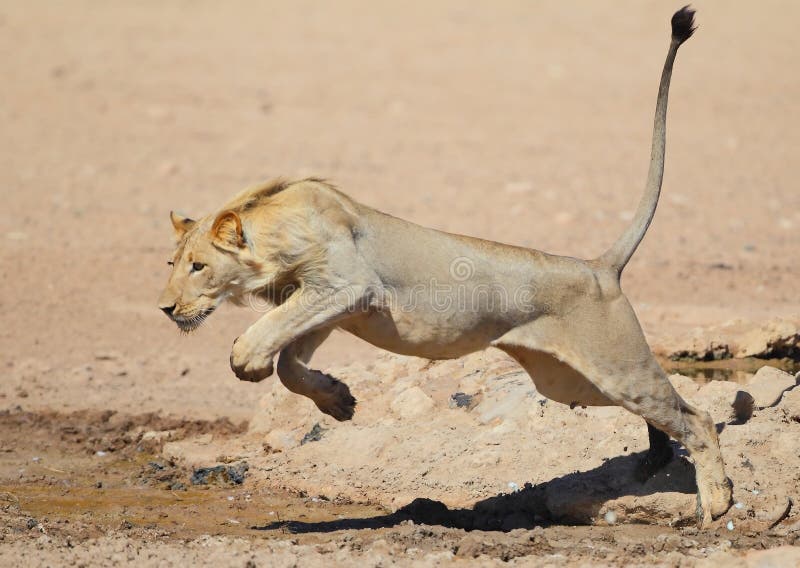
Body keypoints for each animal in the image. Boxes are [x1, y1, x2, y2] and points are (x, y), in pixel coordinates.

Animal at [156, 6, 732, 524]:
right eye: (173, 262)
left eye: (199, 267)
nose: (165, 309)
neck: (271, 235)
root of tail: (599, 266)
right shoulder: (327, 304)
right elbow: (290, 363)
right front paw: (338, 401)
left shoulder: (347, 285)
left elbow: (263, 344)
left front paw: (249, 363)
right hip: (570, 382)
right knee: (666, 411)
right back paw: (656, 457)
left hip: (613, 365)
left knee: (697, 417)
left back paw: (716, 504)